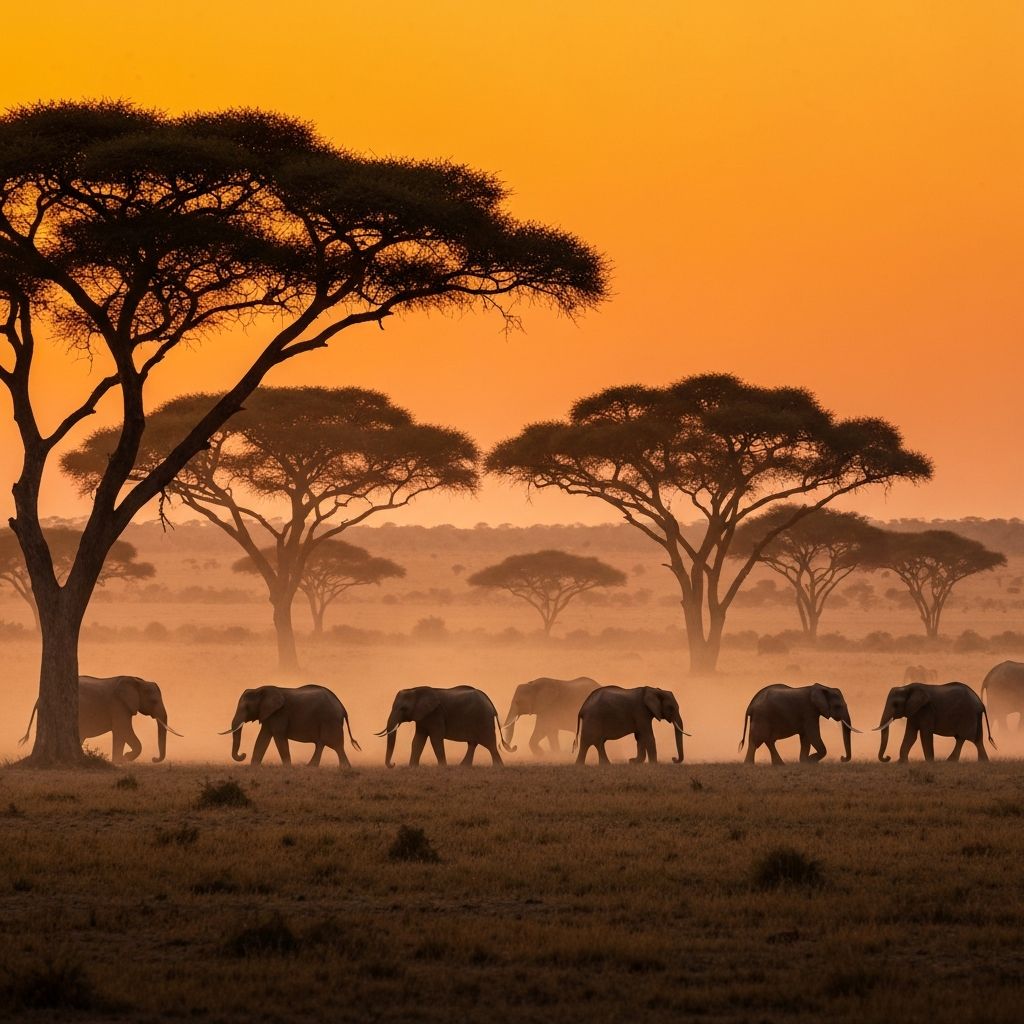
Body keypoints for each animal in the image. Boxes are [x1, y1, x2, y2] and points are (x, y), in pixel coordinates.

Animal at [19, 675, 181, 763]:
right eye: (153, 701)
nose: (154, 759)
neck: (137, 680)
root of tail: (38, 699)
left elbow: (121, 734)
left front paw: (119, 760)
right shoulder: (118, 704)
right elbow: (124, 730)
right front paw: (124, 759)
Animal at [220, 684, 360, 767]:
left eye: (246, 707)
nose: (243, 754)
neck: (260, 689)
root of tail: (342, 707)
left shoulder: (279, 713)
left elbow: (279, 736)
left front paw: (287, 768)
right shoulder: (269, 714)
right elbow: (263, 738)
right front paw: (254, 767)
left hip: (329, 720)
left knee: (335, 745)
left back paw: (344, 769)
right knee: (322, 744)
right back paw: (311, 767)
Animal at [375, 685, 513, 767]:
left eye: (403, 708)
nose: (393, 764)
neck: (416, 689)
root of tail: (490, 702)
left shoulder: (435, 714)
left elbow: (436, 739)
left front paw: (443, 768)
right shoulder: (423, 716)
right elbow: (418, 740)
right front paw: (412, 767)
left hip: (483, 719)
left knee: (490, 745)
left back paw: (498, 768)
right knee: (473, 744)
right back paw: (463, 767)